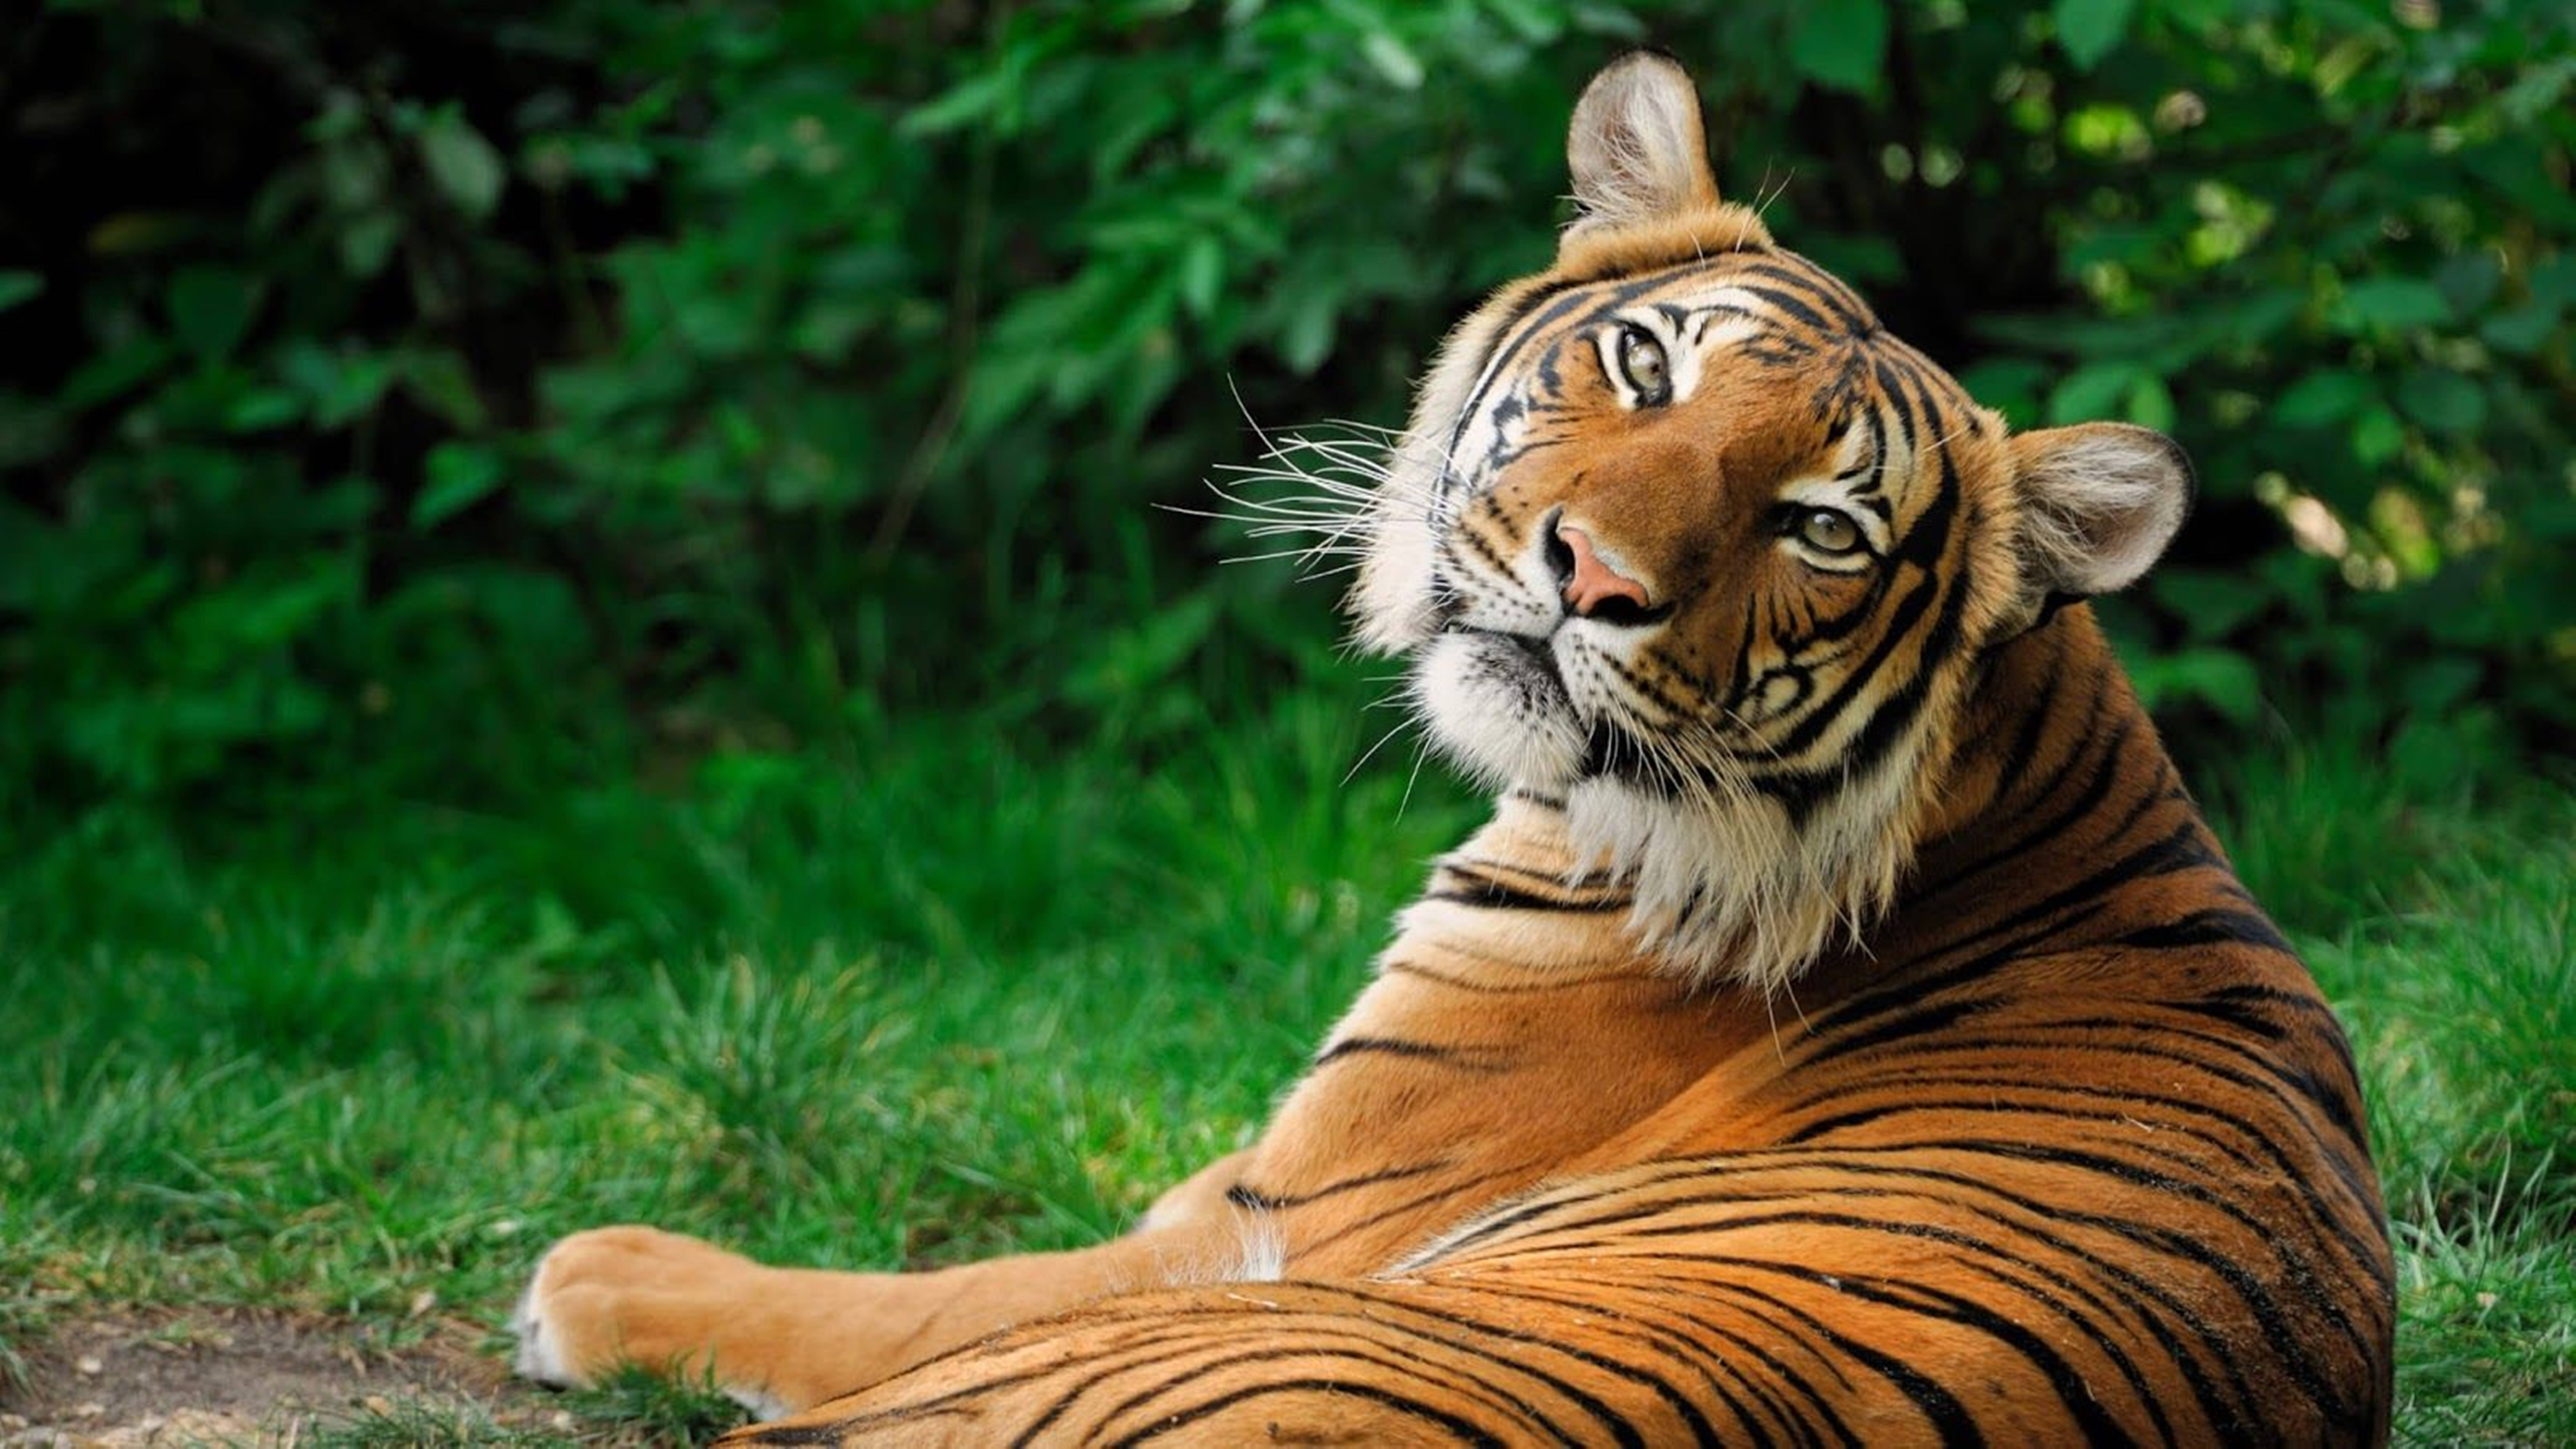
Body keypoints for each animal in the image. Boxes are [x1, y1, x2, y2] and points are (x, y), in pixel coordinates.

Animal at [512, 51, 2395, 1446]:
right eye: (1643, 362)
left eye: (1823, 530)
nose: (1596, 578)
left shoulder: (1277, 1221)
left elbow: (899, 1294)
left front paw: (596, 1277)